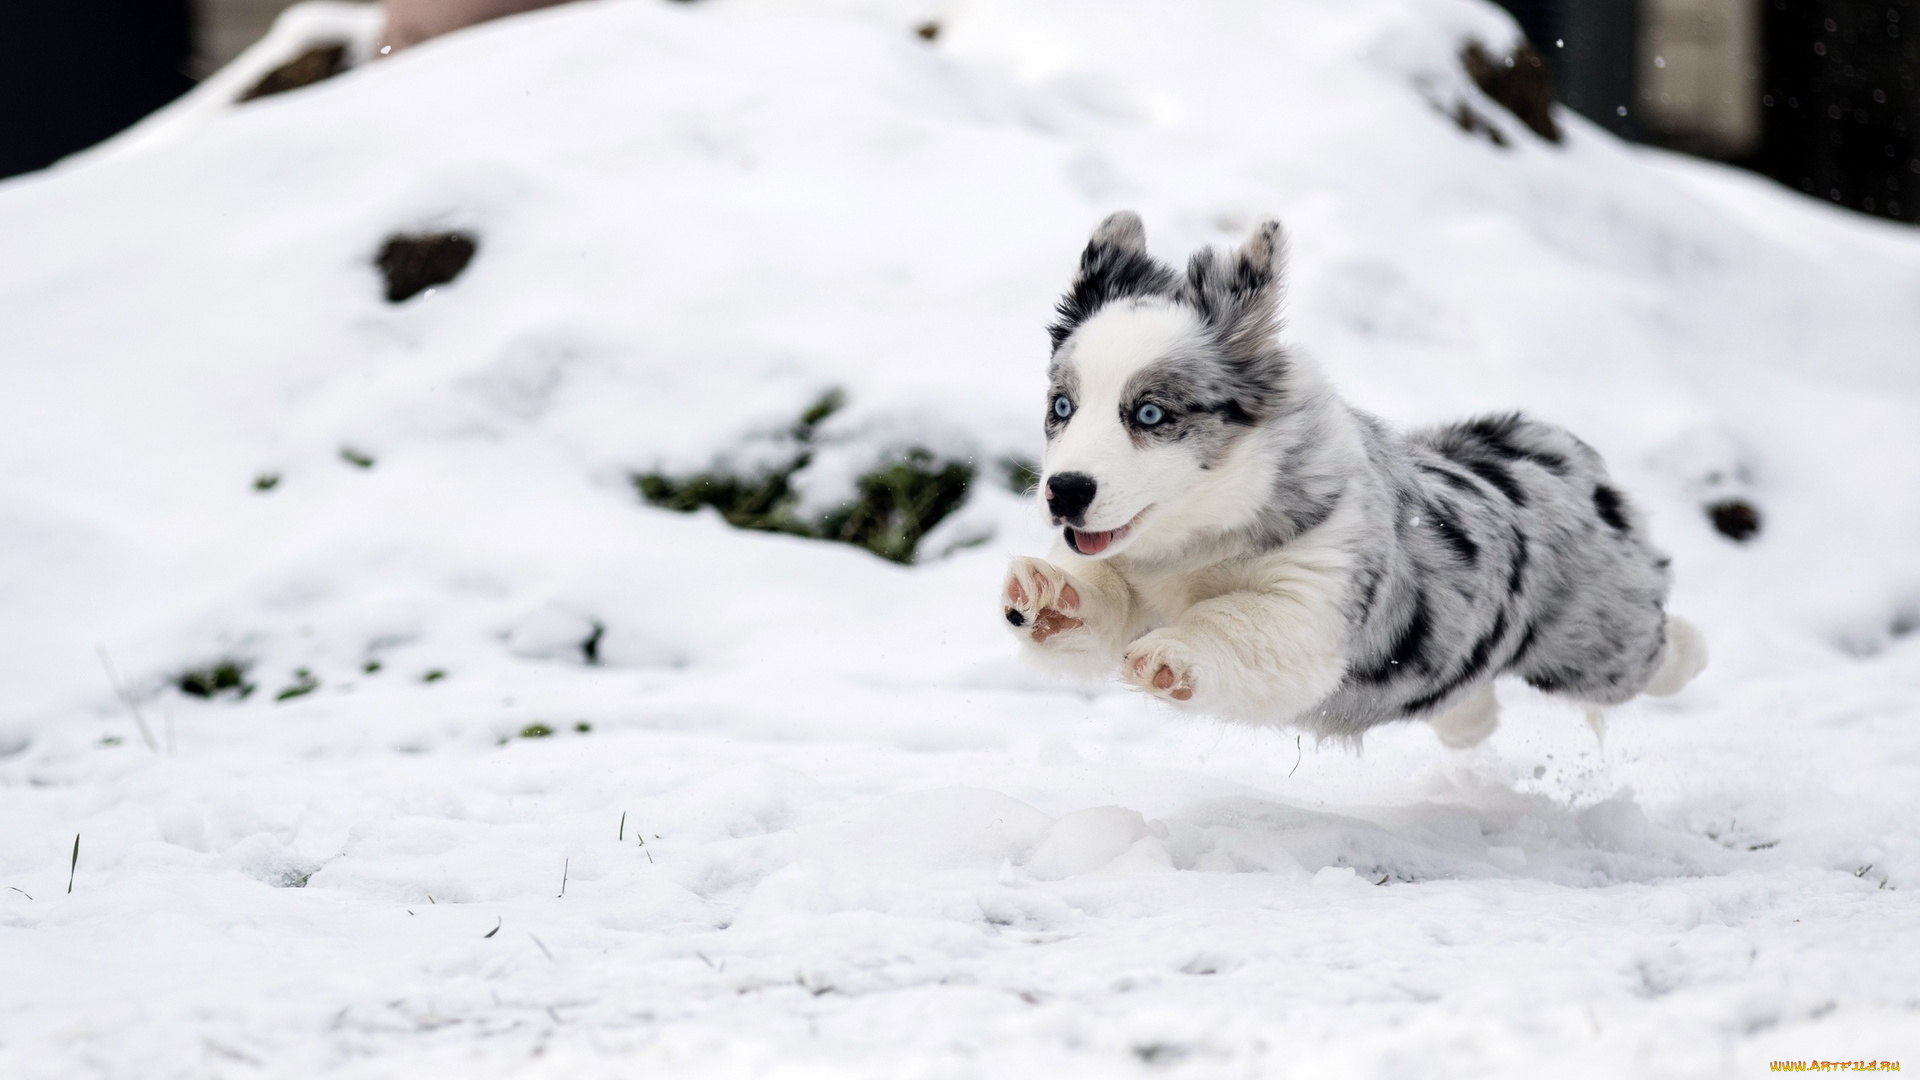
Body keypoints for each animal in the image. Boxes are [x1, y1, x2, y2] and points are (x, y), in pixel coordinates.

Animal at [998, 214, 1704, 745]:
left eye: (1149, 413)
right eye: (1063, 407)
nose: (1065, 492)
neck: (1194, 540)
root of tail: (1552, 450)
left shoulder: (1312, 605)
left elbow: (1234, 618)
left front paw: (1171, 654)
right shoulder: (1129, 574)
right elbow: (1100, 600)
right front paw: (1050, 595)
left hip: (1600, 641)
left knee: (1652, 649)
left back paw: (1692, 651)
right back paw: (1469, 728)